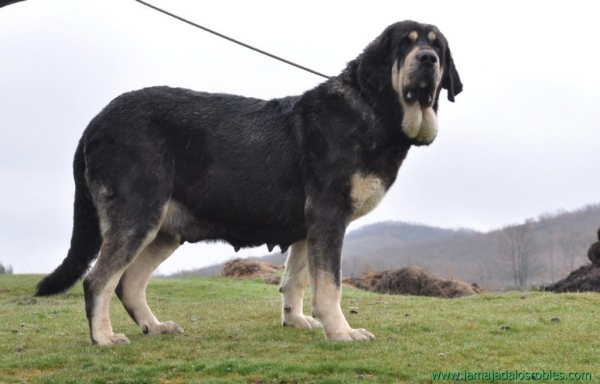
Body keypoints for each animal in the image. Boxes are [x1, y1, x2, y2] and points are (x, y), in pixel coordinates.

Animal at [35, 20, 462, 344]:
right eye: (406, 44)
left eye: (436, 46)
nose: (428, 59)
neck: (374, 107)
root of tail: (96, 121)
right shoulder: (328, 216)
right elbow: (329, 286)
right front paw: (341, 333)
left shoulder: (309, 227)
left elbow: (295, 280)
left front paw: (295, 320)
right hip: (137, 217)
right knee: (98, 281)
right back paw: (103, 338)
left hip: (164, 230)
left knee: (129, 283)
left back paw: (153, 326)